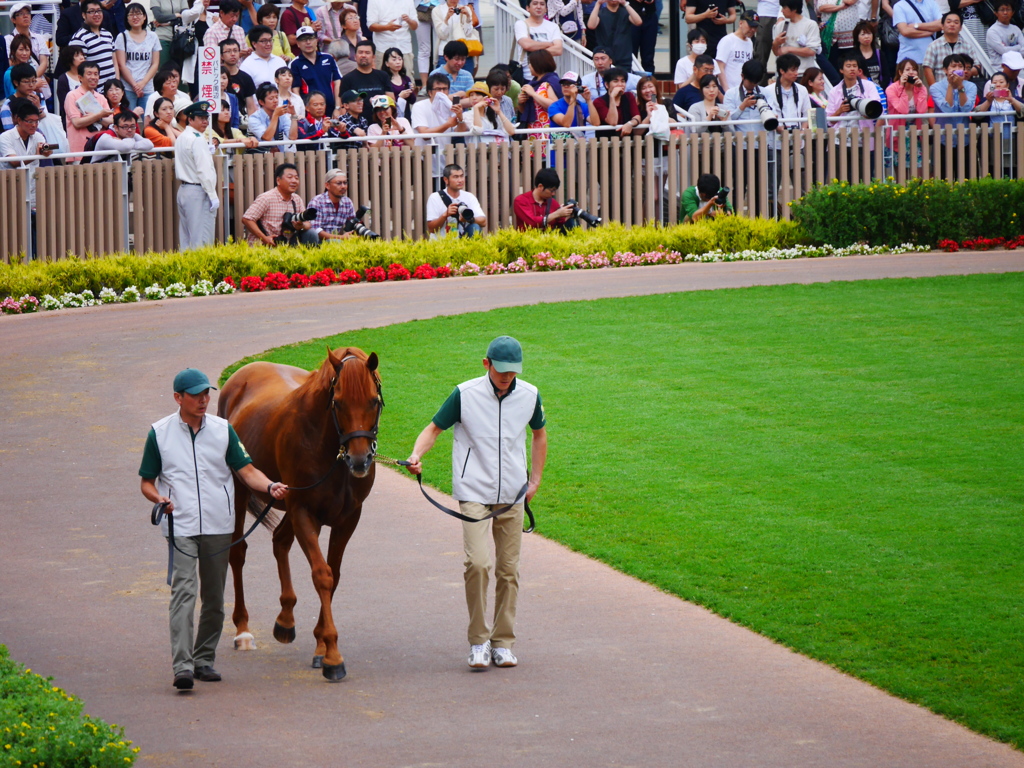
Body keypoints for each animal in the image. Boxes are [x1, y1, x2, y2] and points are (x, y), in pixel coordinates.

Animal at [218, 348, 382, 679]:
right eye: (338, 402)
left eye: (374, 400)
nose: (359, 460)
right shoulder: (305, 512)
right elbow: (322, 574)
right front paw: (332, 655)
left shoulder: (347, 518)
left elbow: (335, 573)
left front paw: (320, 647)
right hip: (242, 488)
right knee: (238, 552)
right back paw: (243, 630)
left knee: (280, 540)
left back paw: (285, 619)